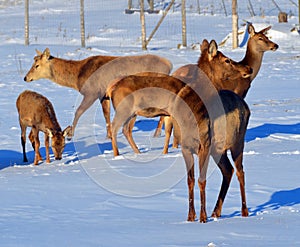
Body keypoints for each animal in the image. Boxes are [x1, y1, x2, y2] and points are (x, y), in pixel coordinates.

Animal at [23, 48, 172, 139]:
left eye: (36, 65)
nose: (25, 77)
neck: (77, 77)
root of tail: (169, 64)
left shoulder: (92, 92)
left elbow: (78, 111)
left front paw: (71, 134)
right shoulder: (103, 95)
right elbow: (106, 114)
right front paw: (108, 136)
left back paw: (157, 134)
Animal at [106, 70, 250, 223]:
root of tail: (246, 106)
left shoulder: (204, 146)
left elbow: (201, 180)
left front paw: (202, 217)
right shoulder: (186, 148)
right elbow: (190, 181)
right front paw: (191, 216)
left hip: (237, 141)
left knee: (240, 171)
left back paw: (244, 211)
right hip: (218, 150)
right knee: (228, 170)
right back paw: (216, 212)